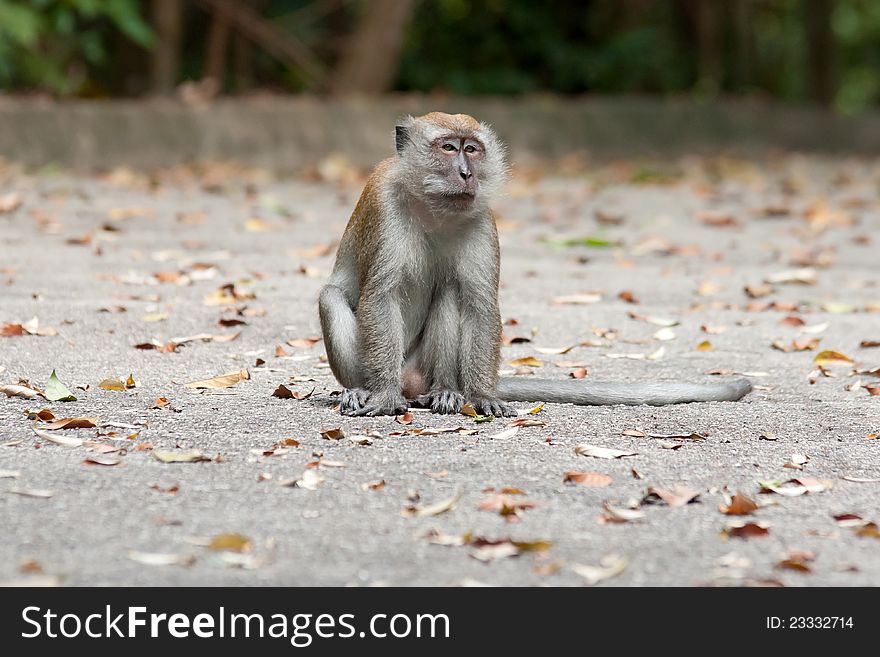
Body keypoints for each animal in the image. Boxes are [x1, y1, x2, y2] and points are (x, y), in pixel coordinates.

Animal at [316, 110, 748, 412]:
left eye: (471, 149)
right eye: (448, 148)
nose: (466, 173)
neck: (433, 207)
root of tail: (413, 380)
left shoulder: (481, 219)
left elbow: (479, 303)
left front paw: (482, 395)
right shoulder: (385, 207)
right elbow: (381, 295)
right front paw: (385, 396)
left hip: (420, 368)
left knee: (452, 292)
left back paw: (446, 392)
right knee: (330, 296)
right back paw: (362, 390)